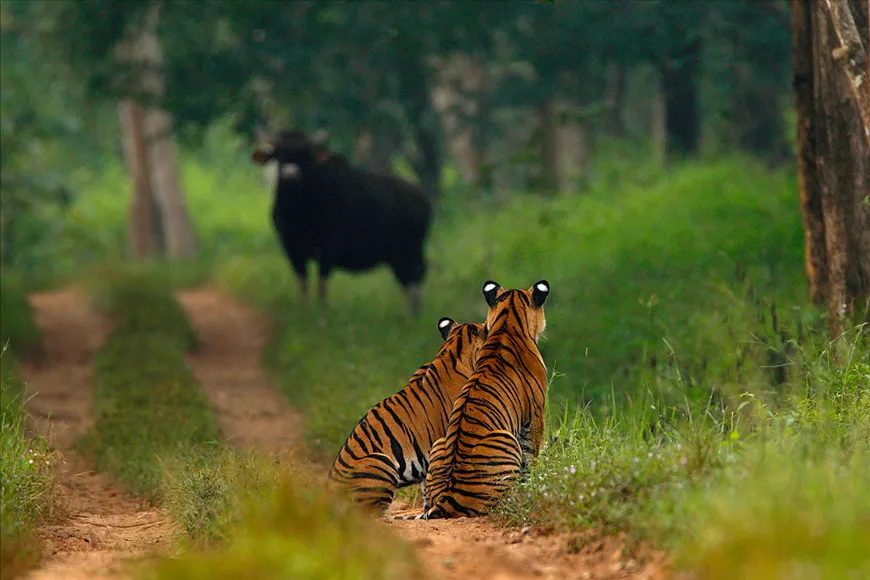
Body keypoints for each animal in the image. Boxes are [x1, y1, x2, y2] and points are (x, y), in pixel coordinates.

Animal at [396, 278, 552, 520]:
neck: (507, 322)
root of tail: (446, 499)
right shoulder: (535, 417)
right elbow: (531, 458)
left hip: (439, 443)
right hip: (505, 438)